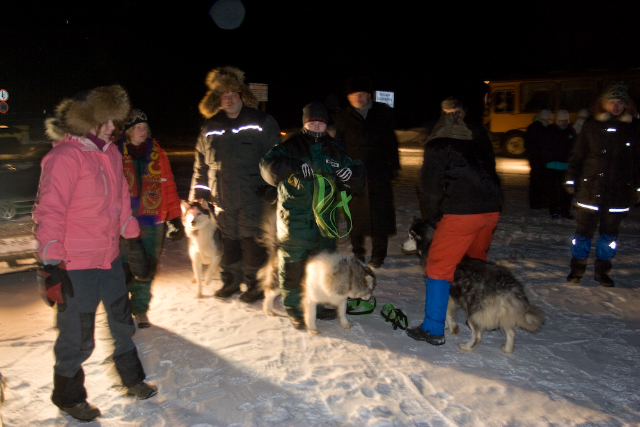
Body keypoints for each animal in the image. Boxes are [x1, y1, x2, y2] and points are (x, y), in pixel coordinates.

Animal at [404, 219, 544, 352]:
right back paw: (507, 349)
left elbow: (446, 313)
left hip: (474, 313)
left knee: (477, 335)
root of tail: (507, 286)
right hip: (503, 313)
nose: (401, 244)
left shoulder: (448, 296)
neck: (431, 246)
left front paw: (451, 327)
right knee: (511, 333)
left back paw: (467, 347)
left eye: (411, 237)